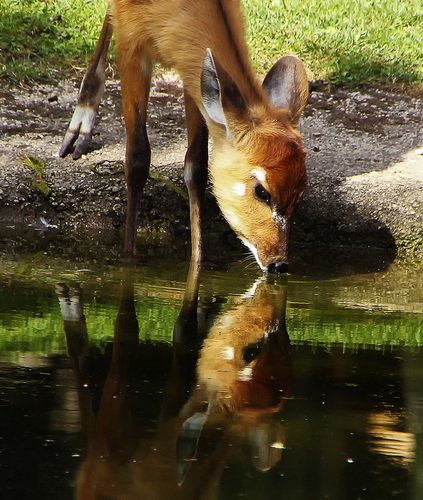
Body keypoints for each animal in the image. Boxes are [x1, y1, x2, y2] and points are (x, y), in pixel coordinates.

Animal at [59, 0, 310, 274]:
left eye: (300, 195)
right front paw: (128, 259)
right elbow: (137, 158)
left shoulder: (193, 72)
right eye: (262, 191)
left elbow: (196, 166)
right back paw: (78, 131)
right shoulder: (132, 42)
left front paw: (197, 262)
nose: (278, 263)